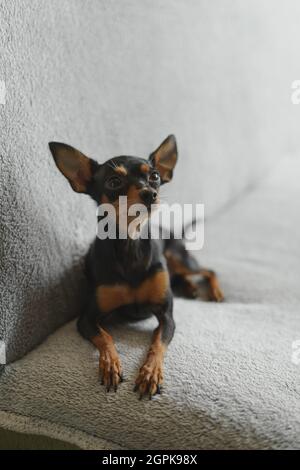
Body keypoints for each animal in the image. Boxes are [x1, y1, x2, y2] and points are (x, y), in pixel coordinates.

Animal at [48, 136, 223, 400]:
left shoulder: (167, 316)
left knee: (208, 271)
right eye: (114, 181)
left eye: (154, 176)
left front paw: (150, 374)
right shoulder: (86, 319)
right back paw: (190, 288)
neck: (131, 244)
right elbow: (106, 337)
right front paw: (110, 365)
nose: (150, 193)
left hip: (178, 257)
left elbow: (157, 345)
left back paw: (213, 291)